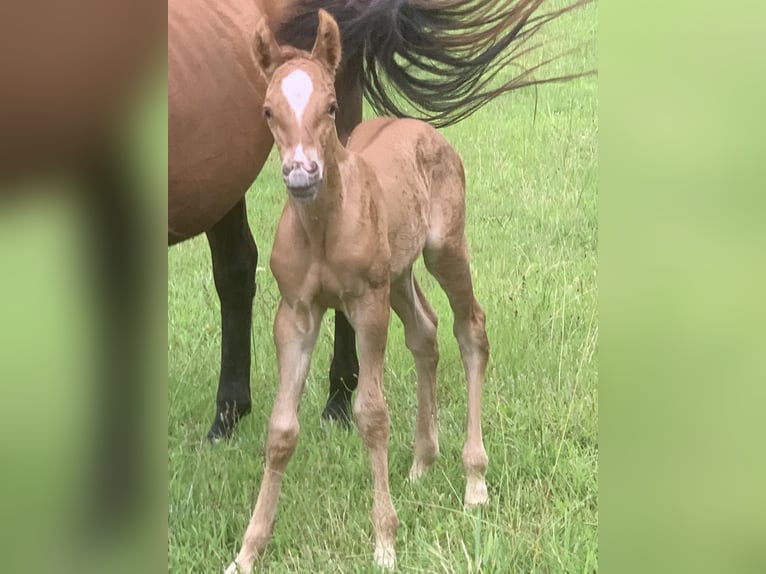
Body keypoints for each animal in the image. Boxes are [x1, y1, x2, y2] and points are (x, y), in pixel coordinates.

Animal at [168, 0, 592, 440]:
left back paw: (335, 401)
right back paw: (227, 417)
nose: (302, 175)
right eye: (267, 111)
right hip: (223, 180)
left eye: (326, 107)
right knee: (237, 269)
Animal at [228, 11, 492, 572]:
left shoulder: (366, 306)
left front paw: (385, 542)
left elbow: (371, 414)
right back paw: (421, 462)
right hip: (398, 273)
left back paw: (474, 479)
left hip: (442, 251)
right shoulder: (296, 313)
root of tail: (420, 126)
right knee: (425, 332)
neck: (323, 226)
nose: (301, 174)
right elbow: (281, 430)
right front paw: (248, 549)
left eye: (330, 106)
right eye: (267, 110)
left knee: (470, 329)